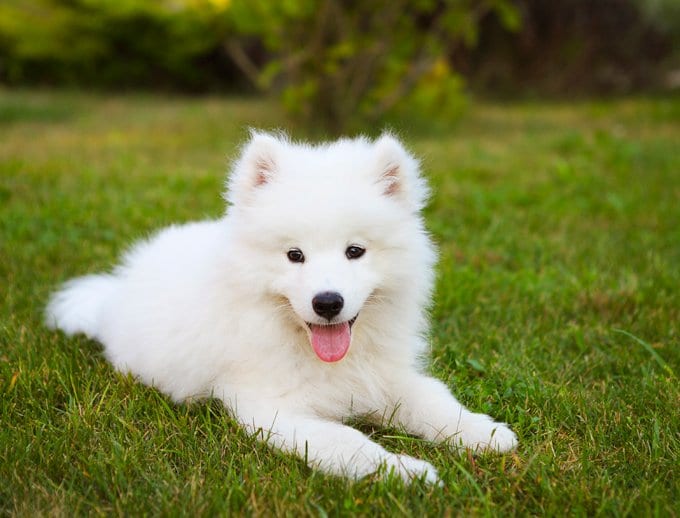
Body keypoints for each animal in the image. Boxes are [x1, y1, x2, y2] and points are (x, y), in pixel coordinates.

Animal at [46, 132, 516, 486]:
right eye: (294, 255)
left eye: (355, 251)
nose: (327, 302)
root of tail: (115, 290)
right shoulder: (272, 408)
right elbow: (348, 443)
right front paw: (407, 472)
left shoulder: (385, 378)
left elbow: (434, 402)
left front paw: (485, 433)